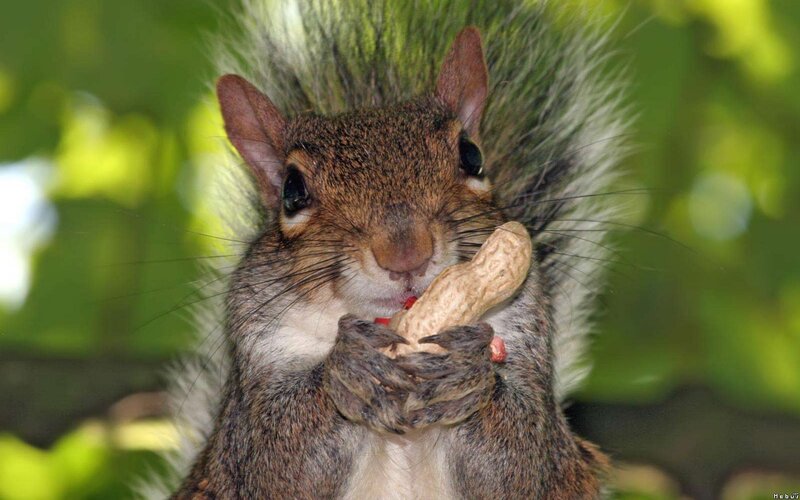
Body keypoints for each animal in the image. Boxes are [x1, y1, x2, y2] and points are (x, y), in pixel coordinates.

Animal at [144, 1, 628, 498]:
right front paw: (349, 370)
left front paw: (466, 371)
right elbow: (276, 459)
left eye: (472, 156)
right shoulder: (255, 364)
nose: (406, 253)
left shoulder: (527, 335)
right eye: (292, 192)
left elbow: (524, 461)